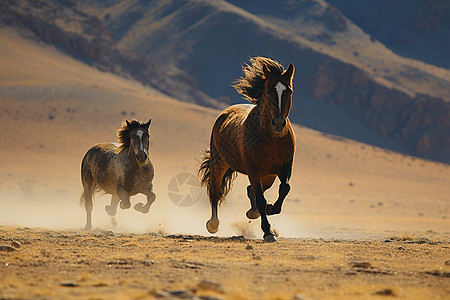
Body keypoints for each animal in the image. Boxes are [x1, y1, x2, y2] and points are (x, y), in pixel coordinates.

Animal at [200, 56, 296, 243]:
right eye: (268, 91)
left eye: (289, 91)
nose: (278, 123)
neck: (272, 139)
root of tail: (224, 113)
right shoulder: (254, 169)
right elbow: (260, 199)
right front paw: (268, 232)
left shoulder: (285, 167)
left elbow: (284, 189)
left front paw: (270, 209)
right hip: (219, 163)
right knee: (215, 191)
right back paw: (213, 224)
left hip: (269, 175)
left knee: (251, 190)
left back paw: (254, 212)